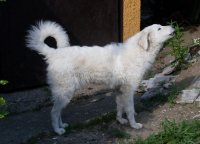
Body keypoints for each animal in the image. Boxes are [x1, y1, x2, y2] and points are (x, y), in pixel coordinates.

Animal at [26, 20, 173, 135]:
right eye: (159, 28)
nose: (173, 26)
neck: (140, 51)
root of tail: (53, 53)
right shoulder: (128, 90)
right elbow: (130, 110)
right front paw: (134, 125)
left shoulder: (120, 90)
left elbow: (120, 107)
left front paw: (120, 120)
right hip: (65, 92)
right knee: (54, 112)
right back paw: (58, 131)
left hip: (64, 93)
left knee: (58, 112)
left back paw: (62, 125)